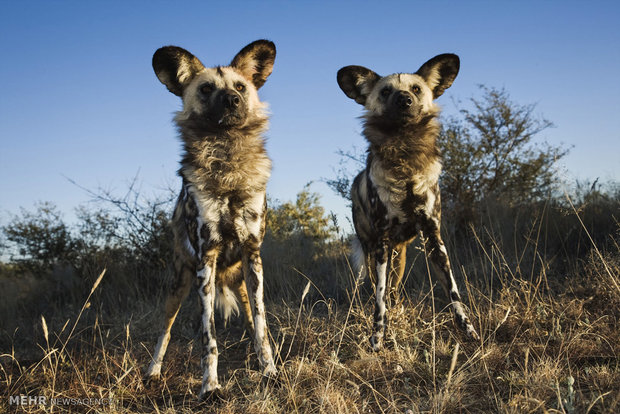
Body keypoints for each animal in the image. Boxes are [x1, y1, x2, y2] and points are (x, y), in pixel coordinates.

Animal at [145, 41, 276, 398]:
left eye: (240, 87)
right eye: (205, 89)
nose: (231, 100)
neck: (227, 161)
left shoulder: (253, 254)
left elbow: (261, 327)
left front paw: (270, 372)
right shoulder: (207, 258)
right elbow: (209, 338)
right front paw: (210, 386)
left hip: (243, 280)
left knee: (252, 320)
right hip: (179, 285)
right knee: (164, 331)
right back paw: (152, 372)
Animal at [340, 52, 480, 350]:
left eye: (416, 89)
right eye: (385, 91)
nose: (404, 99)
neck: (404, 157)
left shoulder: (434, 238)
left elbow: (454, 293)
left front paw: (469, 331)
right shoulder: (381, 244)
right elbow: (379, 300)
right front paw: (377, 339)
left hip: (400, 256)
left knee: (394, 289)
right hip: (372, 252)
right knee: (380, 289)